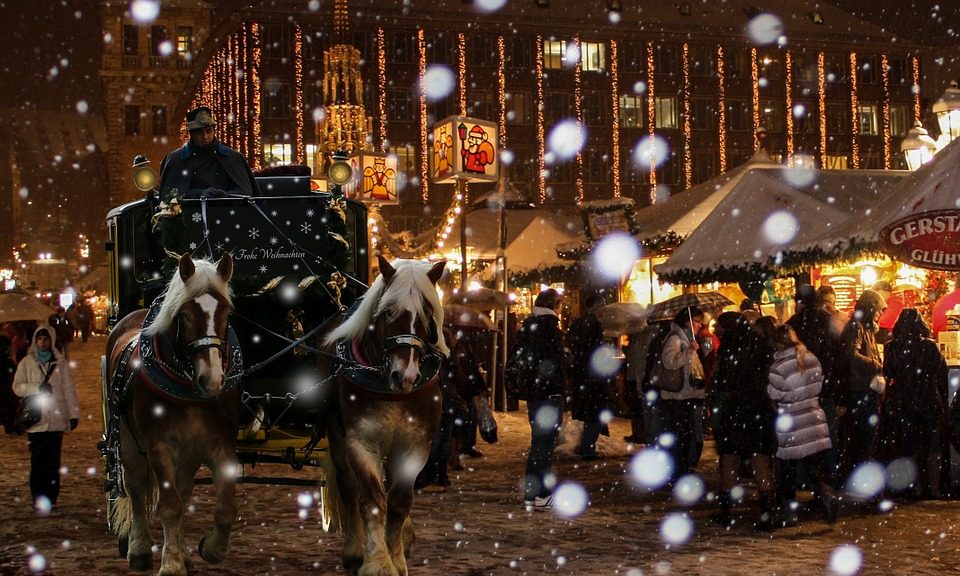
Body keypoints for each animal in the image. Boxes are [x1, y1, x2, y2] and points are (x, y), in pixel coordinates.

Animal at [103, 255, 240, 576]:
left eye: (226, 313)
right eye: (186, 315)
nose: (212, 380)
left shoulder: (220, 443)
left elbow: (225, 507)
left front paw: (210, 549)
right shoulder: (159, 447)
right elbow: (168, 506)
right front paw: (171, 564)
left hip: (188, 453)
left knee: (183, 490)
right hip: (126, 440)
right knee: (136, 488)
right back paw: (140, 548)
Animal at [318, 255, 446, 576]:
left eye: (428, 314)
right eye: (388, 312)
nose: (407, 376)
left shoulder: (417, 444)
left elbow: (399, 501)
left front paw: (397, 556)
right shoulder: (361, 442)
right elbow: (373, 500)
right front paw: (376, 561)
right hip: (336, 433)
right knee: (349, 486)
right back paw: (354, 550)